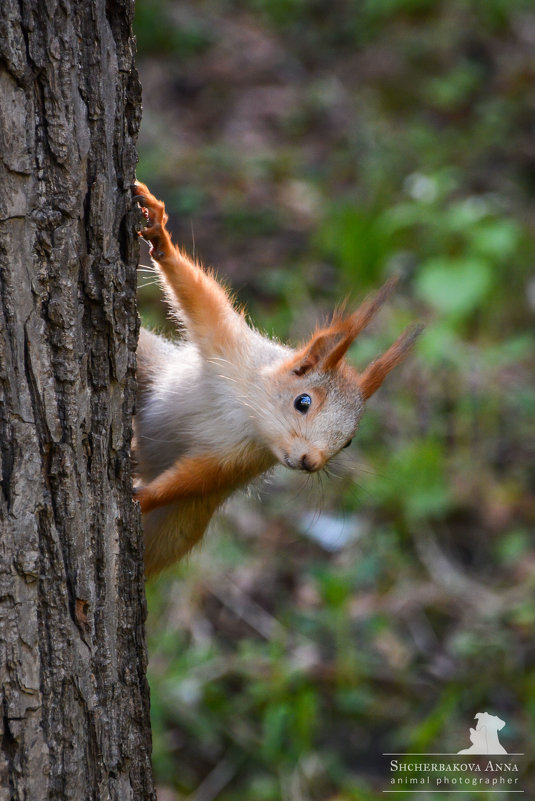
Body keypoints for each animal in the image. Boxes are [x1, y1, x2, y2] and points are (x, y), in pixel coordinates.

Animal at [131, 184, 422, 572]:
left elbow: (190, 481)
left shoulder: (237, 461)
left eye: (348, 442)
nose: (311, 462)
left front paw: (144, 495)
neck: (248, 410)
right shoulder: (228, 344)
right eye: (303, 402)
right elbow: (196, 293)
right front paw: (158, 231)